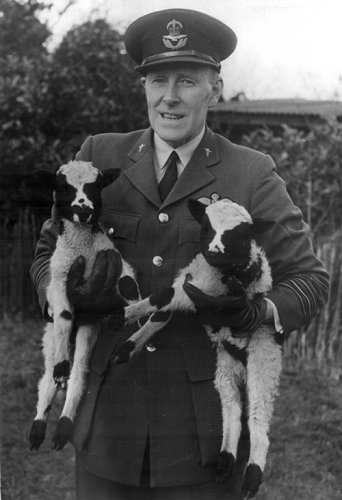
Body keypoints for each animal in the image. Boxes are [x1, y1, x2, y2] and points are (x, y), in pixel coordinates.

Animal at [28, 161, 140, 454]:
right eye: (64, 188)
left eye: (95, 187)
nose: (84, 210)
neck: (83, 248)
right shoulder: (58, 280)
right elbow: (65, 312)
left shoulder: (114, 258)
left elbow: (127, 282)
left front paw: (132, 310)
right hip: (50, 337)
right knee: (48, 379)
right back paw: (38, 429)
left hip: (88, 330)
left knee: (78, 373)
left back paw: (62, 429)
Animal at [115, 197, 284, 498]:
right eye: (206, 227)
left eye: (239, 235)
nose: (215, 250)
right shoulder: (190, 283)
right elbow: (161, 308)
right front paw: (127, 343)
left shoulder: (204, 292)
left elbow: (161, 299)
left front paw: (122, 318)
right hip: (225, 366)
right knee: (232, 409)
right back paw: (225, 461)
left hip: (264, 357)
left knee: (258, 419)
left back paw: (252, 476)